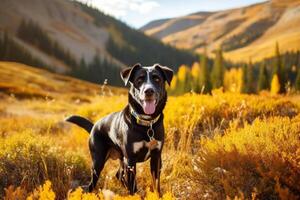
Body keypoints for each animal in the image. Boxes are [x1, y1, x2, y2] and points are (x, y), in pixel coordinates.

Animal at [65, 63, 173, 195]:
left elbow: (156, 184)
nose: (148, 91)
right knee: (93, 183)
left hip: (122, 159)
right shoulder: (130, 159)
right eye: (139, 80)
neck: (147, 124)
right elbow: (133, 186)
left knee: (119, 175)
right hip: (98, 161)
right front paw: (133, 195)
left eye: (157, 79)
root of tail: (94, 125)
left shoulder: (156, 157)